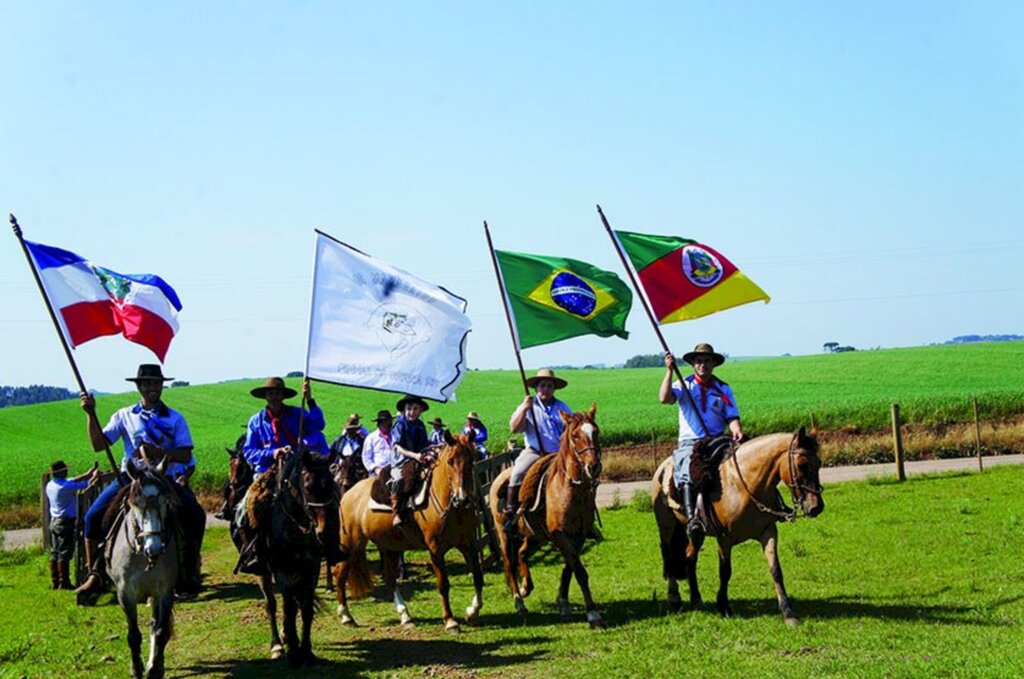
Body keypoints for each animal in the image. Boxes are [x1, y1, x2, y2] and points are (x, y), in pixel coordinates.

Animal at [108, 458, 182, 675]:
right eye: (135, 504)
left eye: (165, 503)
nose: (154, 548)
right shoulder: (125, 593)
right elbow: (133, 635)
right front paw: (136, 669)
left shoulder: (165, 591)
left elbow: (161, 631)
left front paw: (155, 669)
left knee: (154, 625)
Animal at [251, 448, 339, 667]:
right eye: (307, 486)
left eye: (331, 484)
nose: (324, 532)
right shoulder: (282, 570)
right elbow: (289, 608)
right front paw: (293, 651)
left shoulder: (311, 568)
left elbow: (305, 609)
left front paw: (306, 651)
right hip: (263, 572)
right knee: (272, 604)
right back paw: (277, 645)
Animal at [331, 432, 483, 634]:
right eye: (450, 461)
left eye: (471, 460)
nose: (462, 499)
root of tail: (348, 494)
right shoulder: (435, 550)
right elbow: (443, 585)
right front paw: (450, 621)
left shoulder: (469, 544)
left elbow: (478, 577)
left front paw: (472, 612)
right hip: (350, 544)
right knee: (340, 575)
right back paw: (346, 617)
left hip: (388, 546)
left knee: (390, 579)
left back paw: (405, 616)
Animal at [489, 403, 602, 630]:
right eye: (575, 435)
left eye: (596, 432)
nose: (594, 466)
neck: (569, 490)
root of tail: (498, 478)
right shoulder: (559, 535)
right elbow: (579, 571)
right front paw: (593, 614)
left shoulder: (578, 536)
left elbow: (569, 568)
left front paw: (563, 603)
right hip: (505, 535)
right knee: (509, 563)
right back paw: (519, 602)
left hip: (536, 536)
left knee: (522, 552)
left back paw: (526, 587)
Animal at [651, 430, 827, 626]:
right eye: (802, 465)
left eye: (819, 463)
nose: (816, 507)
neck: (744, 485)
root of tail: (663, 467)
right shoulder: (724, 539)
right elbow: (725, 572)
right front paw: (724, 607)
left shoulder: (768, 533)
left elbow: (776, 570)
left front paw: (788, 613)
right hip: (666, 526)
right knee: (668, 556)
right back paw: (674, 598)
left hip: (697, 534)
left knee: (690, 557)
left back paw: (696, 600)